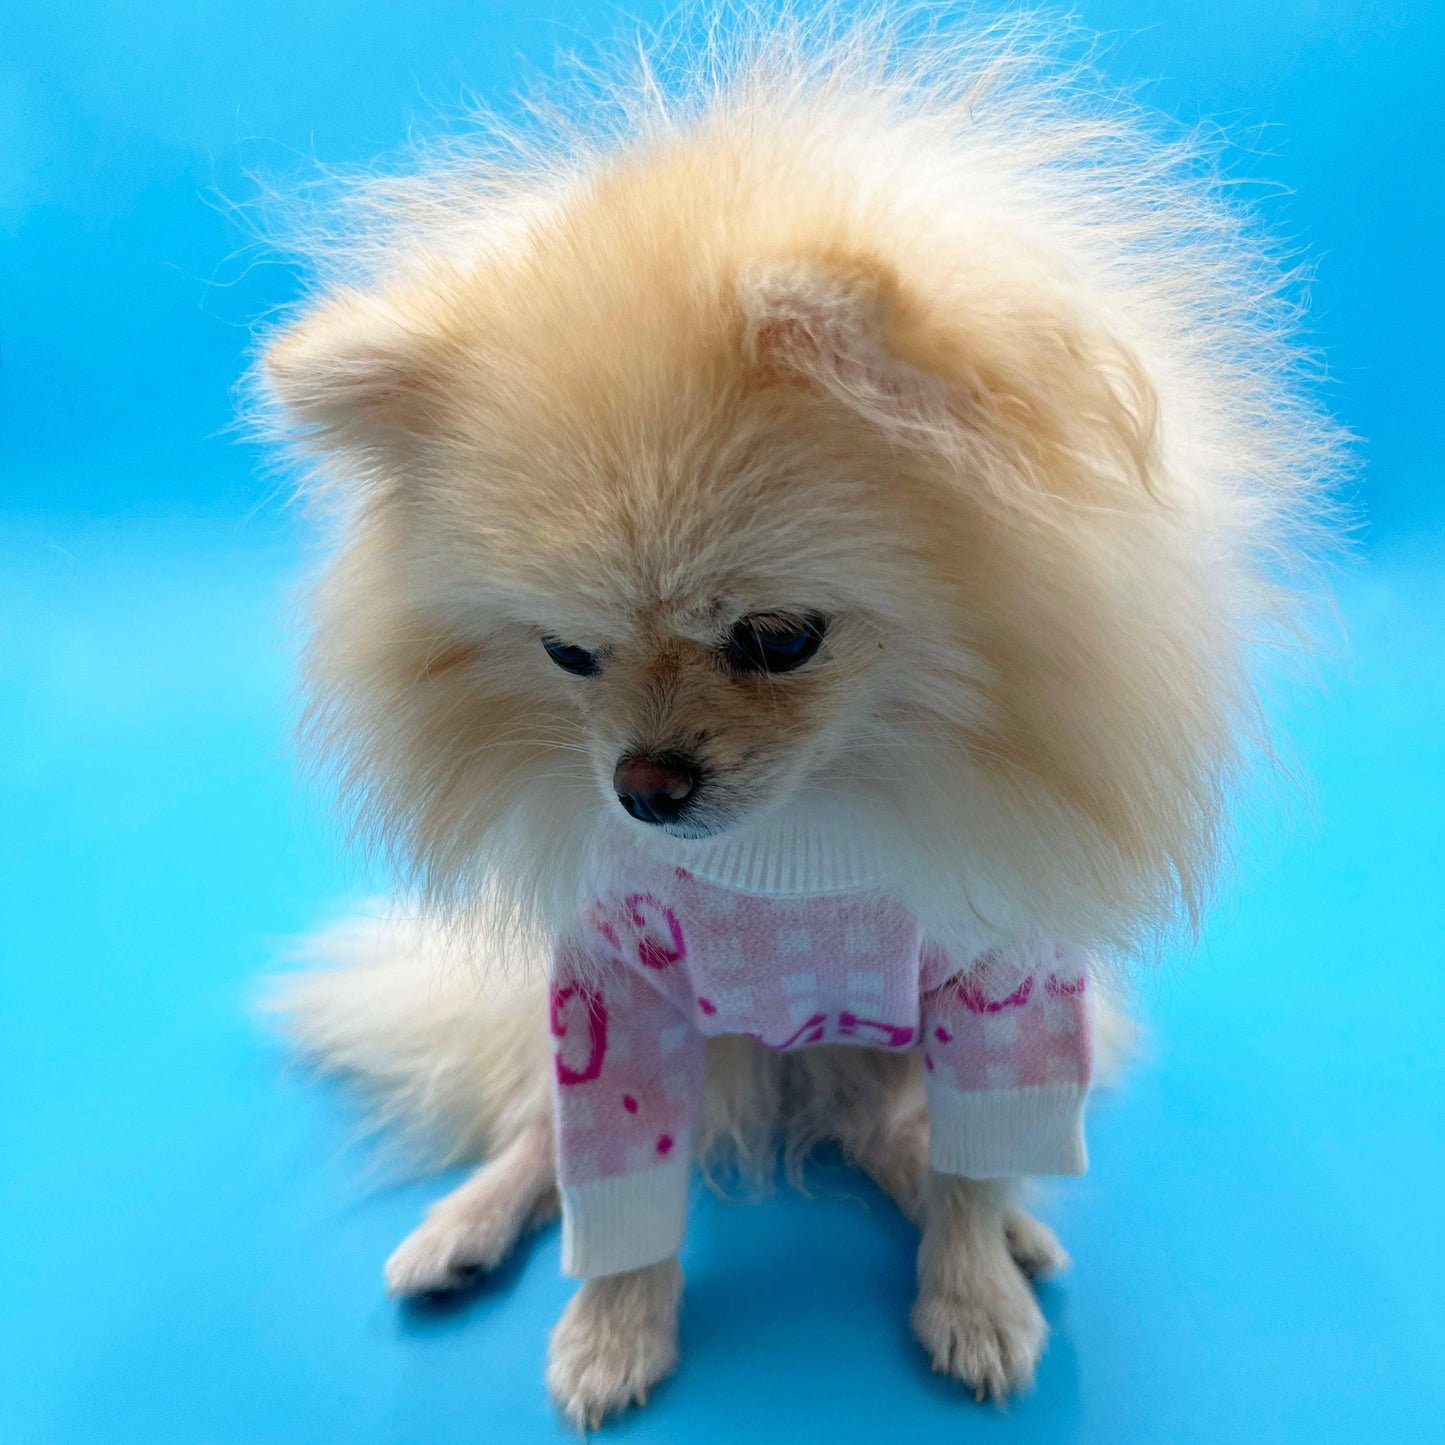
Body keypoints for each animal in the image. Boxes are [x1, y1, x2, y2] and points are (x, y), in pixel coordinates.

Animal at [256, 12, 1342, 1428]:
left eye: (777, 638)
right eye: (566, 653)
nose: (643, 786)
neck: (815, 834)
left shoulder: (1003, 979)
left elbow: (979, 1161)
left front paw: (971, 1289)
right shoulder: (614, 998)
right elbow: (612, 1189)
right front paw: (612, 1331)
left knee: (902, 1133)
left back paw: (1000, 1225)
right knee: (533, 1133)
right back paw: (467, 1223)